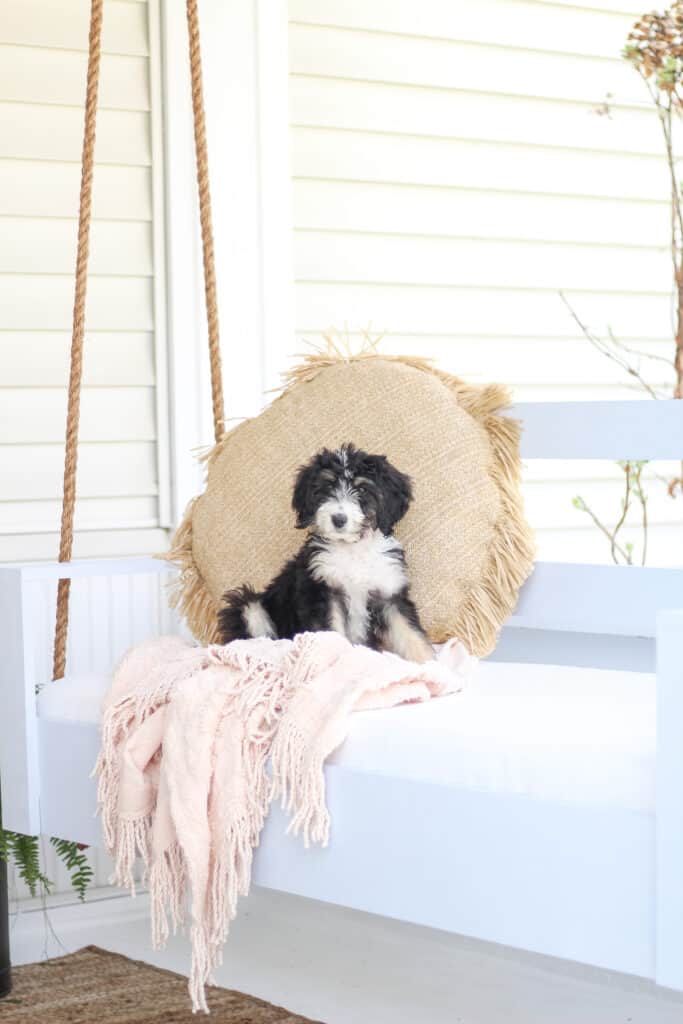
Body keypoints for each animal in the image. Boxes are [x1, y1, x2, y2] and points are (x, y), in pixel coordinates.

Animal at [219, 442, 432, 663]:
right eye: (328, 486)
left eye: (362, 489)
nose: (338, 519)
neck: (353, 549)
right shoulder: (322, 592)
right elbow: (333, 634)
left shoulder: (389, 595)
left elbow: (411, 634)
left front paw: (431, 665)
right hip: (249, 606)